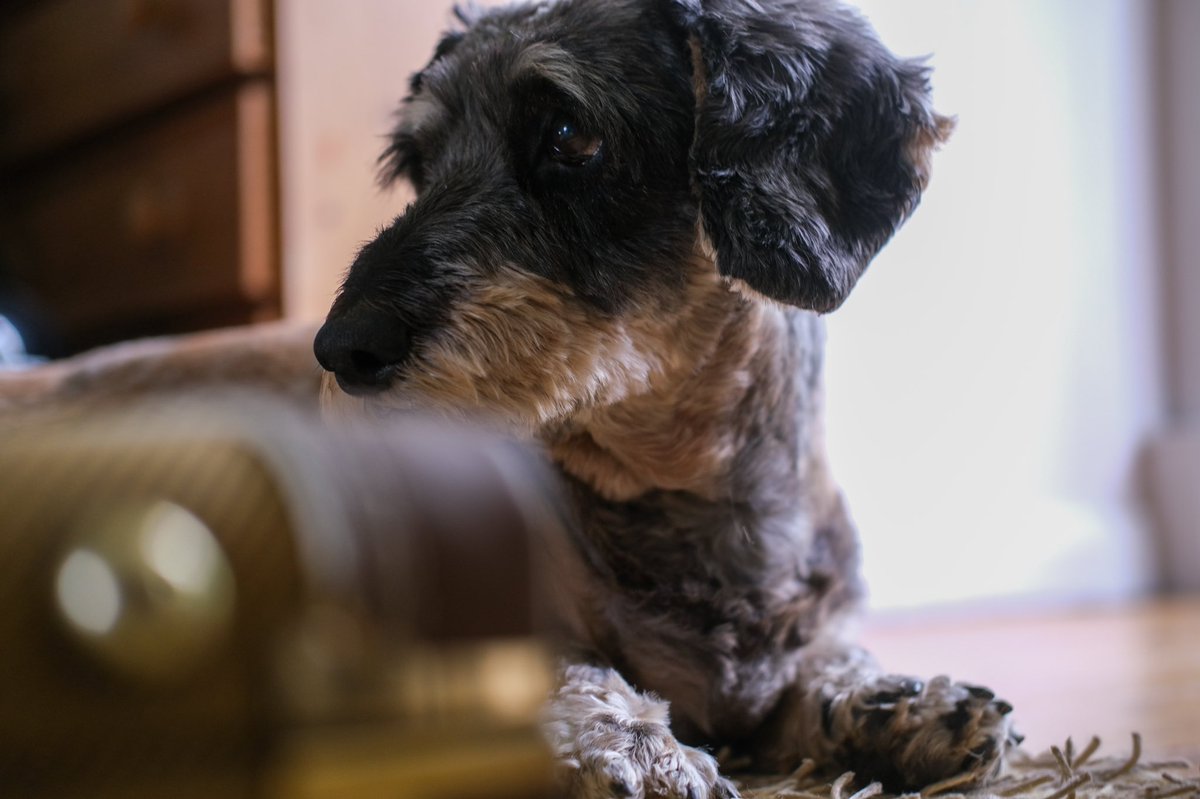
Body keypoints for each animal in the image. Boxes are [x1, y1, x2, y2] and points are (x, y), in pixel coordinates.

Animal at [0, 0, 1017, 791]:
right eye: (418, 164)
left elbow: (826, 665)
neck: (678, 496)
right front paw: (632, 744)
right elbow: (563, 669)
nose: (341, 347)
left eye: (570, 135)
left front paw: (897, 700)